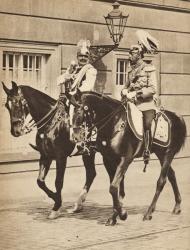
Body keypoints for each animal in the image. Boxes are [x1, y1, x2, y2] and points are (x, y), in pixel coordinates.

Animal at [1, 82, 99, 219]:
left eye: (19, 103)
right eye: (7, 105)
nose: (15, 131)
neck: (52, 123)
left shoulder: (60, 157)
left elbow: (58, 182)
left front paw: (56, 206)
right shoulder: (45, 155)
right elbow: (40, 181)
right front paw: (55, 198)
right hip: (89, 152)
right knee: (91, 173)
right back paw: (78, 205)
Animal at [71, 91, 186, 226]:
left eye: (79, 111)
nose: (75, 137)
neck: (115, 124)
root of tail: (176, 116)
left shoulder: (125, 159)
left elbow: (114, 187)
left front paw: (122, 214)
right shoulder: (108, 160)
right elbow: (115, 187)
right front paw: (114, 216)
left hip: (168, 153)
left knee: (161, 181)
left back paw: (148, 213)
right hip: (161, 154)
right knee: (172, 175)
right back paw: (177, 206)